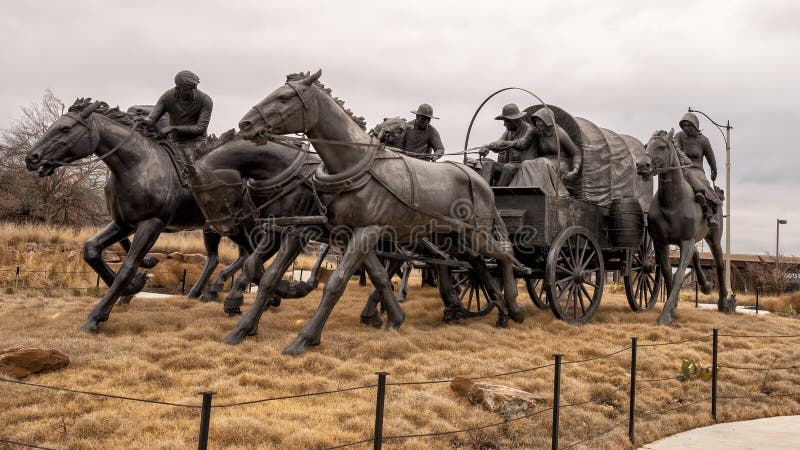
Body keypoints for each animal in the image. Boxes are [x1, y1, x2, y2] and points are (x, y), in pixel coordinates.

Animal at [25, 100, 256, 332]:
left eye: (65, 128)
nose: (32, 158)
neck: (137, 165)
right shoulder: (123, 223)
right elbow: (92, 250)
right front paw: (133, 288)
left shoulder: (151, 224)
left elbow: (128, 266)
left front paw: (95, 317)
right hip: (216, 227)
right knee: (223, 257)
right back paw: (206, 293)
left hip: (240, 224)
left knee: (250, 253)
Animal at [231, 69, 528, 356]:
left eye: (284, 98)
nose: (245, 124)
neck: (355, 164)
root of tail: (479, 179)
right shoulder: (337, 232)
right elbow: (376, 276)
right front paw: (241, 329)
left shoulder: (365, 231)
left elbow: (336, 283)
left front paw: (303, 339)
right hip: (454, 239)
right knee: (476, 264)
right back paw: (497, 310)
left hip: (475, 234)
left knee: (503, 255)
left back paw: (514, 307)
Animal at [636, 129, 736, 324]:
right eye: (646, 146)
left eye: (662, 146)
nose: (642, 165)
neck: (672, 203)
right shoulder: (660, 243)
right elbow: (667, 272)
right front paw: (672, 308)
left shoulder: (686, 242)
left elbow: (679, 275)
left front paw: (666, 315)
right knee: (697, 255)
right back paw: (705, 286)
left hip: (714, 239)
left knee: (720, 265)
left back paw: (723, 303)